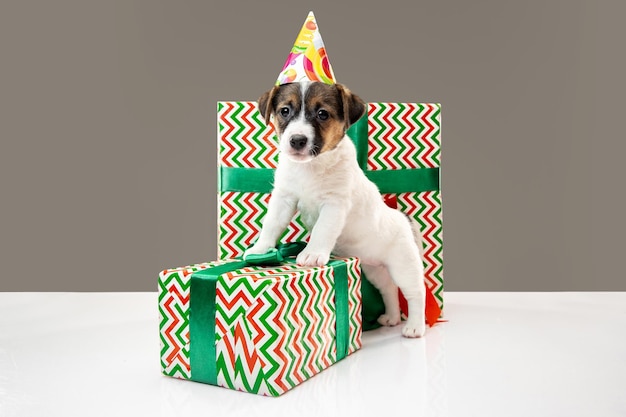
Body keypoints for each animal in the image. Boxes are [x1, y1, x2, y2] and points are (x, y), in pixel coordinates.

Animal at [246, 79, 426, 336]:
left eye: (322, 114)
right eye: (284, 111)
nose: (297, 140)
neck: (310, 167)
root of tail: (404, 219)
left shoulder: (334, 204)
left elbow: (322, 230)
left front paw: (311, 254)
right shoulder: (284, 198)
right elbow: (271, 225)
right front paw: (261, 249)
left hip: (403, 264)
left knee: (415, 293)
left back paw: (414, 327)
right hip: (374, 269)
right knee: (388, 289)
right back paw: (391, 317)